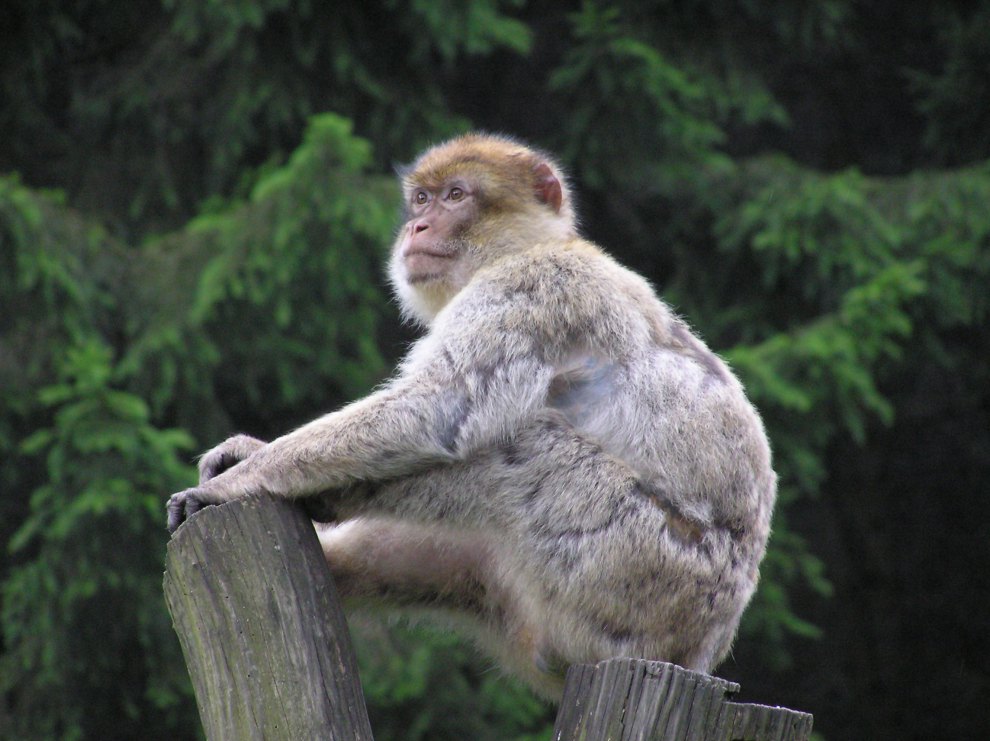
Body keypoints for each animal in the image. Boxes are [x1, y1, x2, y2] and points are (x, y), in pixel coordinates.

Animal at [169, 134, 776, 700]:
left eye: (456, 196)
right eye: (421, 198)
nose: (417, 226)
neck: (521, 248)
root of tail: (698, 655)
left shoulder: (533, 287)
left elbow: (435, 409)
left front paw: (241, 477)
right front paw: (249, 453)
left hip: (638, 573)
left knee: (516, 450)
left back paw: (337, 497)